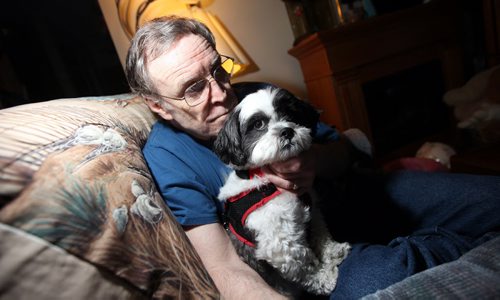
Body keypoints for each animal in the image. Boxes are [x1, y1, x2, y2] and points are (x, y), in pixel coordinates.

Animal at [213, 86, 350, 296]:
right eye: (258, 124)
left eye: (290, 114)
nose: (287, 131)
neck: (263, 177)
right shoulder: (281, 245)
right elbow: (304, 267)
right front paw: (323, 278)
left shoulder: (312, 211)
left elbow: (320, 233)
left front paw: (332, 251)